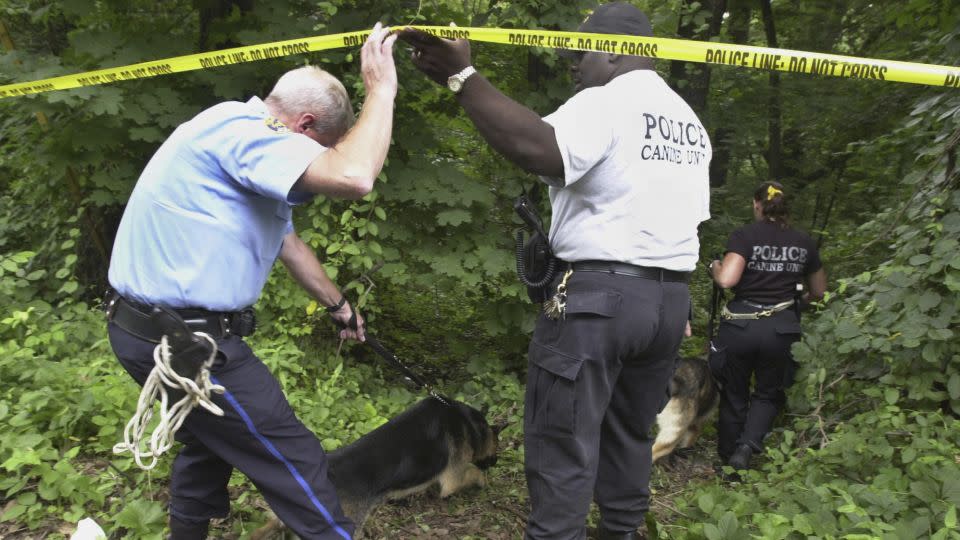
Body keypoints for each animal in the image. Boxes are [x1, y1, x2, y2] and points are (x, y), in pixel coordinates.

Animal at [248, 394, 502, 536]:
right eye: (496, 447)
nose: (496, 462)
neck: (466, 419)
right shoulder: (454, 477)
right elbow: (473, 471)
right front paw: (484, 481)